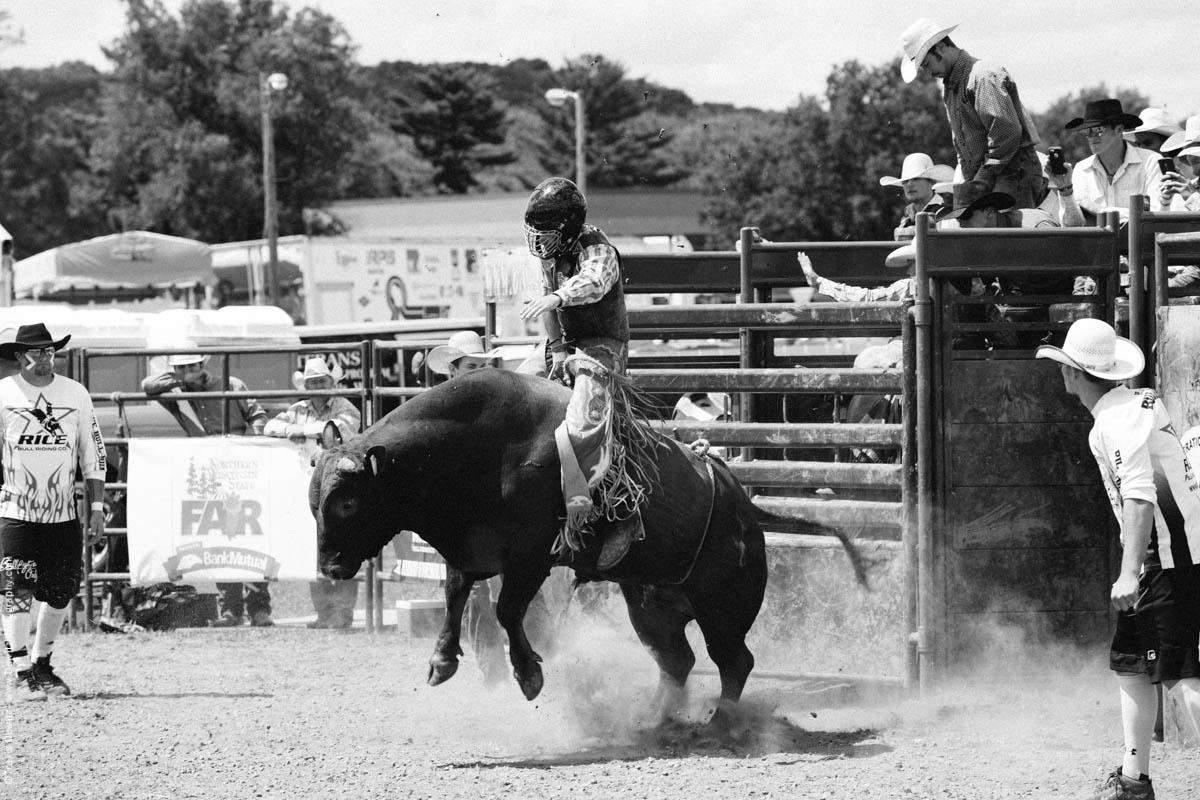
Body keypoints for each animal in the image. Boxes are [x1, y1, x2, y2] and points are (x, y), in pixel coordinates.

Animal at [307, 367, 854, 724]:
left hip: (724, 607)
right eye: (314, 501)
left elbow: (507, 610)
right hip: (652, 607)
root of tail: (746, 508)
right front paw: (442, 661)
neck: (474, 446)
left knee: (734, 662)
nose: (330, 568)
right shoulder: (469, 551)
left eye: (348, 503)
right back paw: (654, 720)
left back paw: (719, 723)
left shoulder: (531, 558)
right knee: (676, 661)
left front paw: (529, 674)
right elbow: (456, 597)